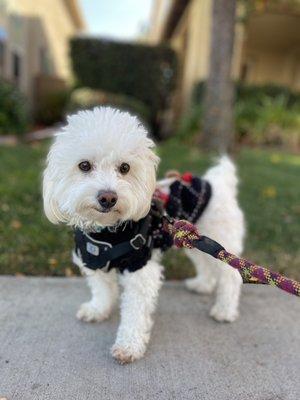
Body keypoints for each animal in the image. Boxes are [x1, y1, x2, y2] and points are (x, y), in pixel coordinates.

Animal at [43, 108, 245, 364]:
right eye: (84, 165)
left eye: (125, 168)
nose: (108, 197)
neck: (107, 233)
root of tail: (217, 182)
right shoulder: (92, 259)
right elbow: (102, 290)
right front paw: (98, 310)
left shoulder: (139, 268)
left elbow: (135, 314)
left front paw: (129, 346)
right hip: (196, 240)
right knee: (205, 265)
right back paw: (202, 285)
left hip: (222, 238)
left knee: (231, 277)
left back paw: (225, 310)